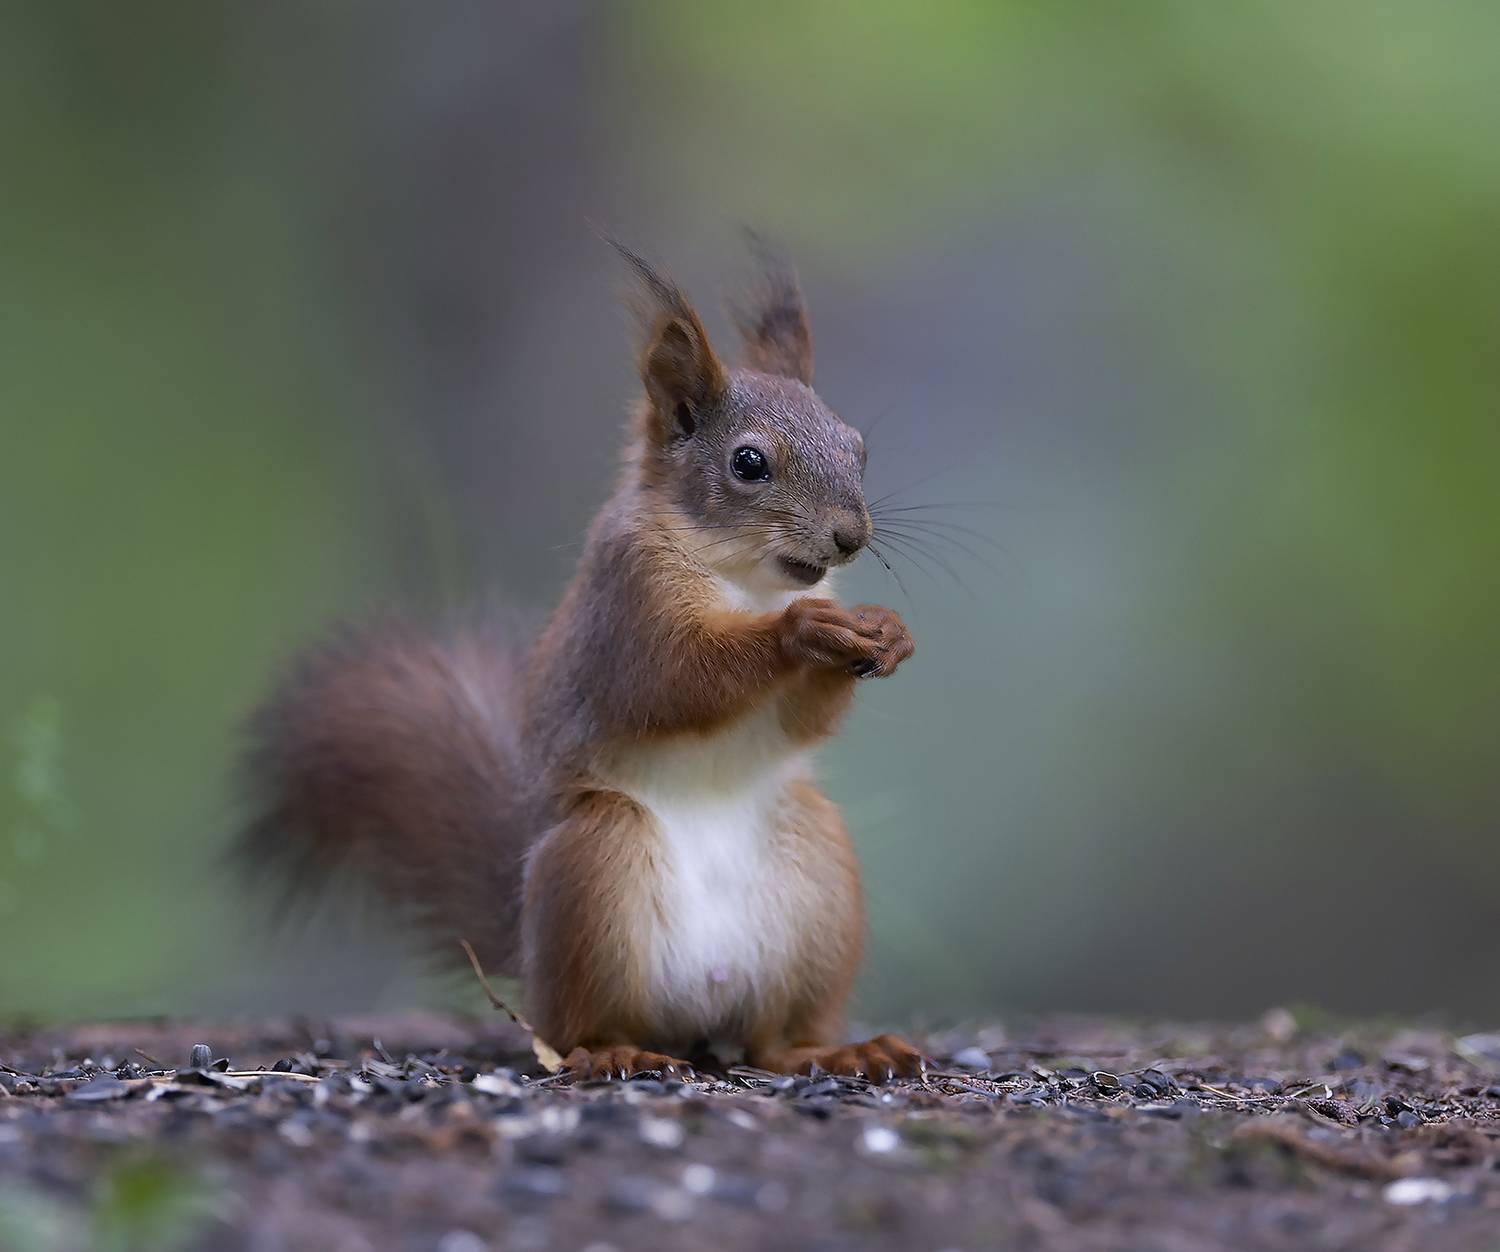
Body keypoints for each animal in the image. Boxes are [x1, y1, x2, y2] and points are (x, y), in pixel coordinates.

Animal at [242, 240, 922, 1081]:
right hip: (596, 867)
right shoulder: (625, 607)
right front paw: (801, 631)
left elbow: (800, 719)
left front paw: (886, 632)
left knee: (769, 1042)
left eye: (858, 445)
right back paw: (614, 1050)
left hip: (815, 881)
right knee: (570, 1033)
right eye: (749, 463)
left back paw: (837, 1050)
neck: (746, 578)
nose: (849, 537)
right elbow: (674, 680)